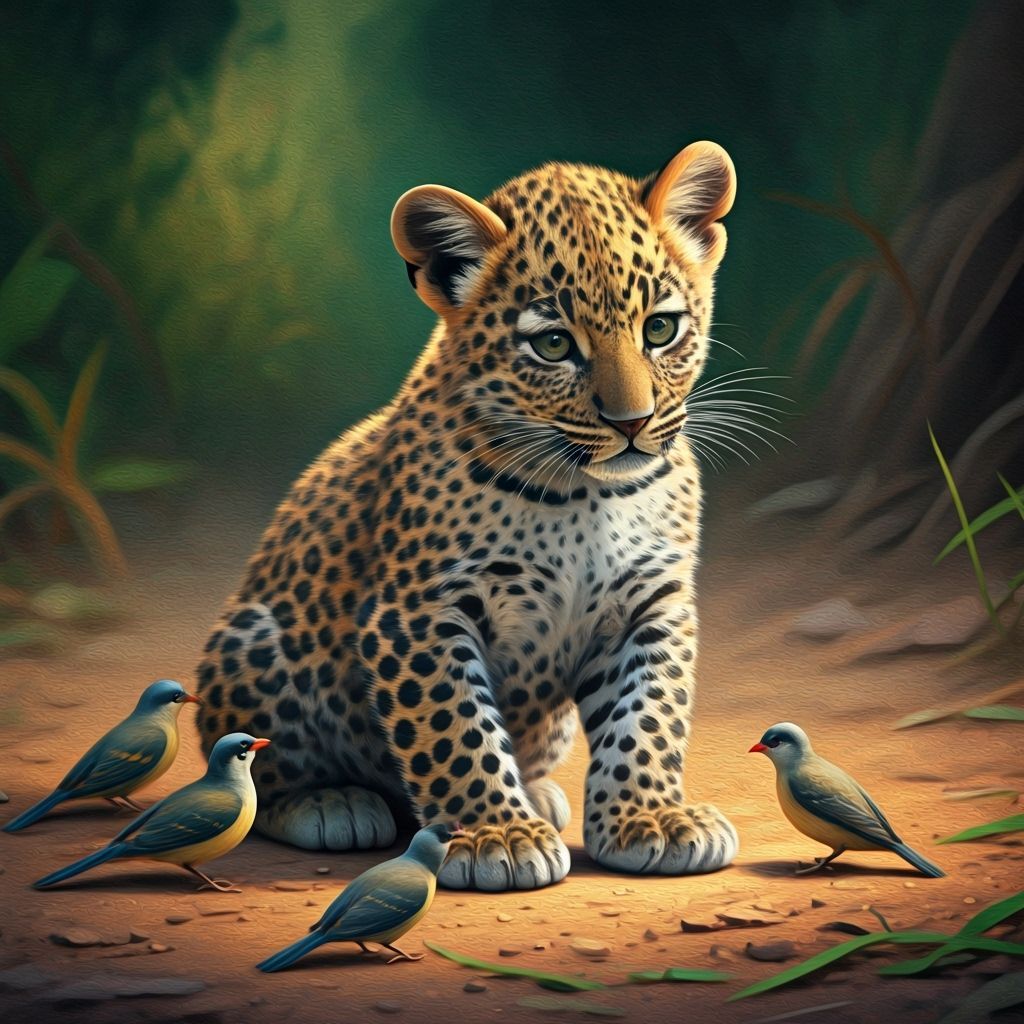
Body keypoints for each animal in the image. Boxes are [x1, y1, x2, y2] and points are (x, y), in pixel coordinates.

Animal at [196, 141, 740, 890]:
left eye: (660, 329)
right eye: (552, 345)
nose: (632, 423)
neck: (586, 497)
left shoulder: (651, 603)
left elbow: (647, 716)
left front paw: (649, 818)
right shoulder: (419, 612)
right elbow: (453, 728)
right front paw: (496, 837)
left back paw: (540, 794)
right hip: (253, 638)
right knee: (254, 765)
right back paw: (331, 803)